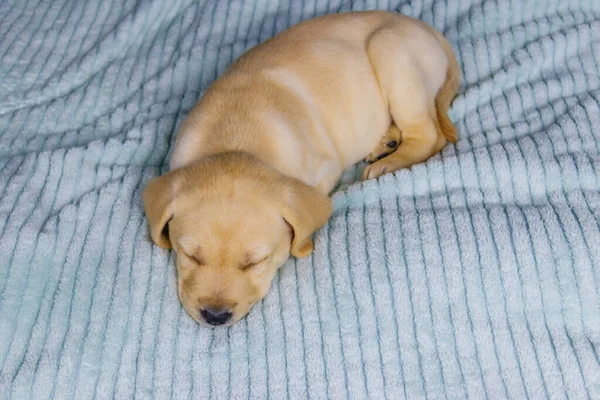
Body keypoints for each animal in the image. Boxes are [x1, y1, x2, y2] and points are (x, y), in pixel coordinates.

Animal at [142, 10, 460, 326]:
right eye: (190, 256)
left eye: (254, 262)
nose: (215, 316)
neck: (235, 138)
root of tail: (426, 28)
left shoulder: (326, 168)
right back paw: (386, 141)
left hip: (392, 52)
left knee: (430, 134)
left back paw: (390, 161)